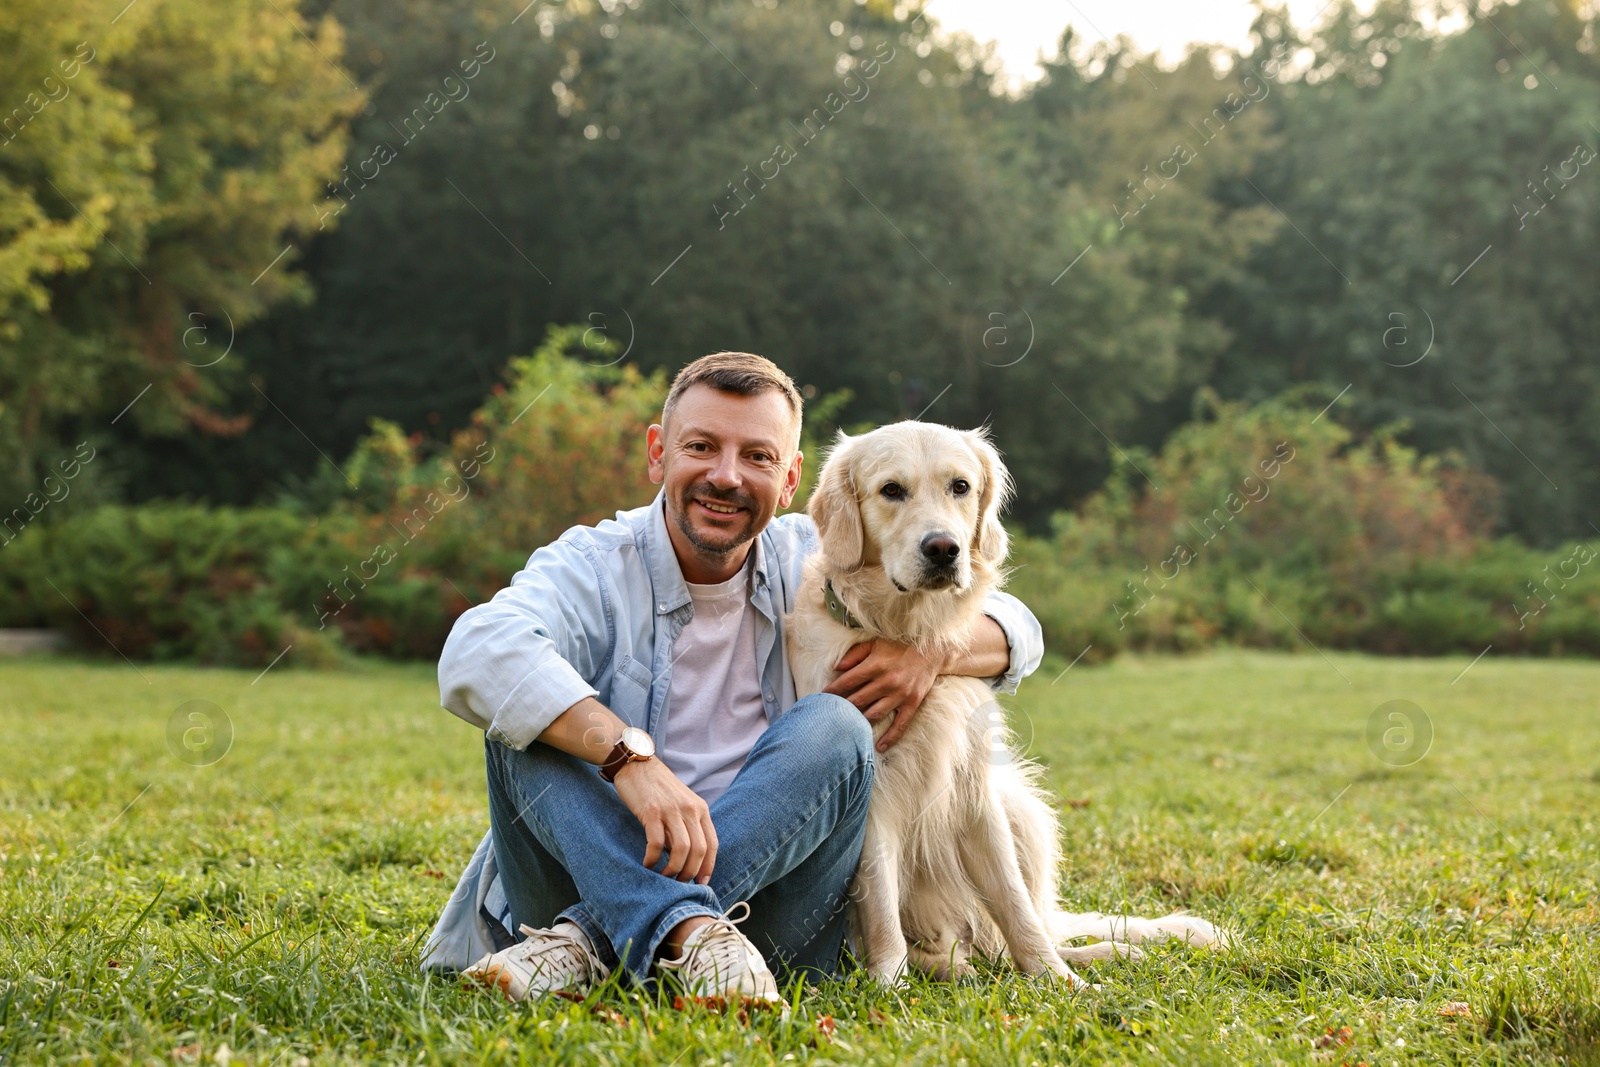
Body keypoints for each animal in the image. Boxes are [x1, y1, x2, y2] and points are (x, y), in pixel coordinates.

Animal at [787, 422, 1222, 991]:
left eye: (960, 486)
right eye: (891, 490)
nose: (944, 549)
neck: (909, 632)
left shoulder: (976, 792)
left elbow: (1016, 906)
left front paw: (1060, 982)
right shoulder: (873, 798)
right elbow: (881, 907)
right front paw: (889, 988)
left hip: (1024, 809)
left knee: (1036, 924)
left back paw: (1104, 953)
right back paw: (944, 964)